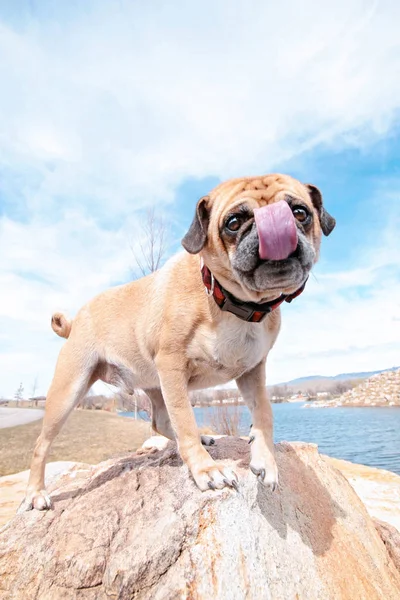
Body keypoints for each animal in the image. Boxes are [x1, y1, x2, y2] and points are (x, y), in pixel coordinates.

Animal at [20, 173, 336, 510]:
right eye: (234, 222)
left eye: (300, 213)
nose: (274, 225)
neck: (231, 301)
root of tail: (75, 320)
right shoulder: (173, 367)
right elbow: (185, 421)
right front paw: (206, 470)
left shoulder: (252, 372)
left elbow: (264, 412)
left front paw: (266, 460)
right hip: (71, 389)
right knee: (41, 444)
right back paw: (36, 493)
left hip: (155, 386)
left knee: (160, 421)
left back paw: (205, 436)